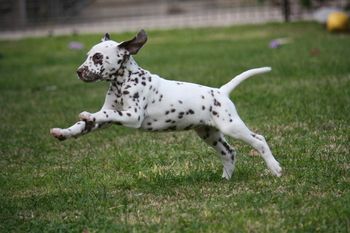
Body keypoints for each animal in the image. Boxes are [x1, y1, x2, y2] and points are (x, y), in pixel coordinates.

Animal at [50, 29, 284, 178]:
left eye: (98, 57)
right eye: (88, 56)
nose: (79, 72)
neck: (123, 81)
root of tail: (220, 91)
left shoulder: (132, 116)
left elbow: (106, 114)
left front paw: (88, 114)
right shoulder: (111, 115)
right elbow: (83, 125)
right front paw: (63, 132)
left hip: (231, 126)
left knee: (259, 140)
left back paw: (274, 168)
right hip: (209, 134)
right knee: (229, 152)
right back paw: (225, 179)